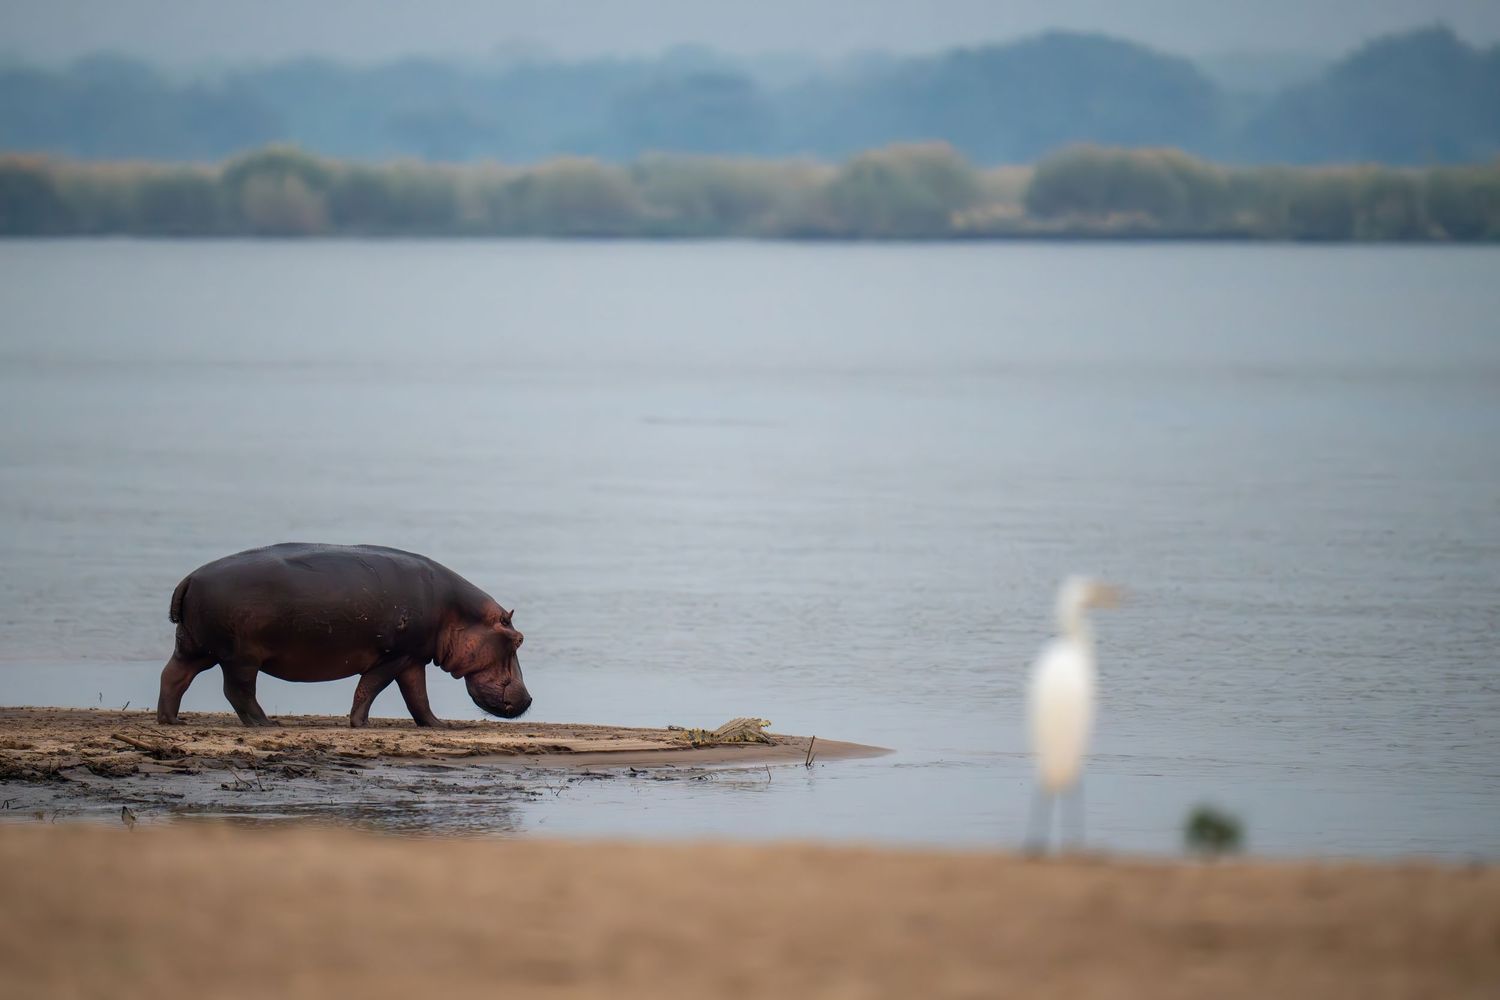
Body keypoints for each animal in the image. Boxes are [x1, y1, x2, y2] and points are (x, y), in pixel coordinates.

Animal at [157, 543, 530, 728]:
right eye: (518, 639)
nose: (528, 700)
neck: (459, 613)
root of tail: (189, 578)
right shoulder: (395, 656)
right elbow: (370, 687)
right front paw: (360, 724)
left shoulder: (414, 658)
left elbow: (418, 698)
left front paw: (439, 726)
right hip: (240, 657)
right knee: (238, 691)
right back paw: (266, 724)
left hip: (195, 648)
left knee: (174, 676)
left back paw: (172, 720)